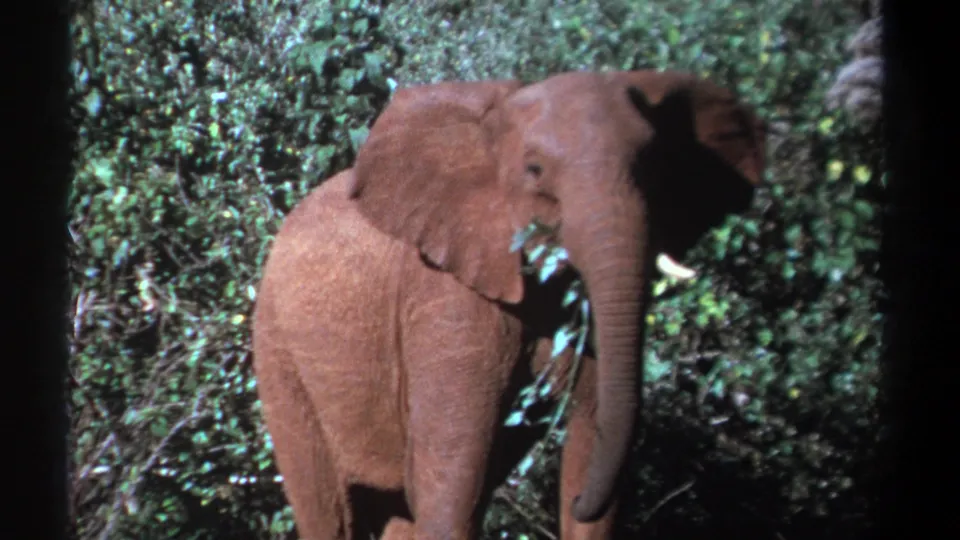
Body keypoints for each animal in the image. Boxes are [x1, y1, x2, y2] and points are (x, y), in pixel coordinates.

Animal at [251, 69, 766, 540]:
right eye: (535, 171)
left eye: (655, 171)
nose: (574, 502)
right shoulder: (448, 294)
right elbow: (454, 481)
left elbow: (593, 432)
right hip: (278, 355)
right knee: (330, 508)